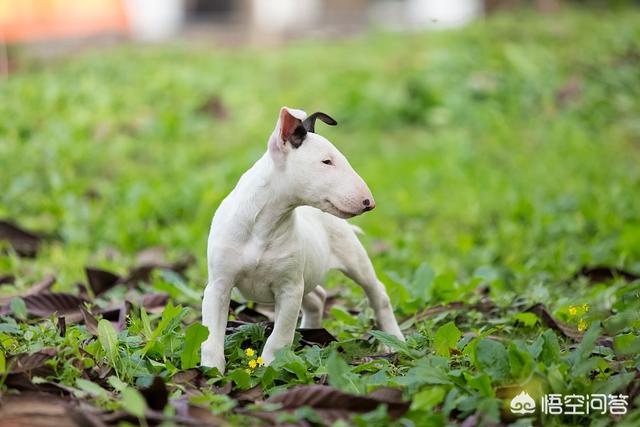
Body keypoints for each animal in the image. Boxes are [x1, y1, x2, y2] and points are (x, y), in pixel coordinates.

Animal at [201, 108, 404, 374]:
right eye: (326, 161)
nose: (369, 202)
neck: (263, 224)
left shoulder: (289, 288)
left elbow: (279, 337)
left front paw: (270, 369)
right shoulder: (219, 286)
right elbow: (211, 336)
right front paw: (211, 371)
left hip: (352, 258)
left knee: (377, 293)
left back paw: (393, 340)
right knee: (317, 297)